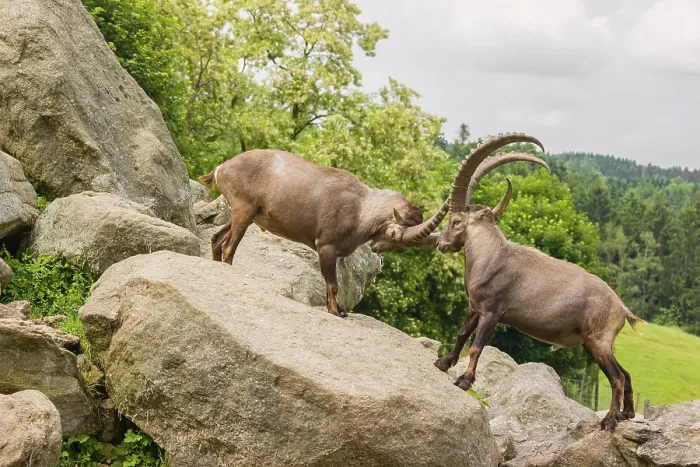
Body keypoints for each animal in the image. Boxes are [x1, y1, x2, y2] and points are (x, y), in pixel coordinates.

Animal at [198, 138, 541, 317]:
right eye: (394, 235)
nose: (377, 248)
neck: (362, 208)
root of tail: (222, 168)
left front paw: (339, 310)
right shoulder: (326, 246)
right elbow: (333, 284)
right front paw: (337, 312)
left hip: (243, 213)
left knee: (216, 238)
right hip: (244, 211)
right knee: (228, 245)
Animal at [432, 152, 642, 431]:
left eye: (456, 221)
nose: (440, 243)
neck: (491, 256)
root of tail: (622, 309)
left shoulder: (492, 312)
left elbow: (477, 346)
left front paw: (465, 381)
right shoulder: (474, 307)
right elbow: (461, 333)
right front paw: (443, 362)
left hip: (598, 341)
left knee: (617, 377)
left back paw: (609, 420)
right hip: (597, 344)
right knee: (626, 373)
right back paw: (627, 413)